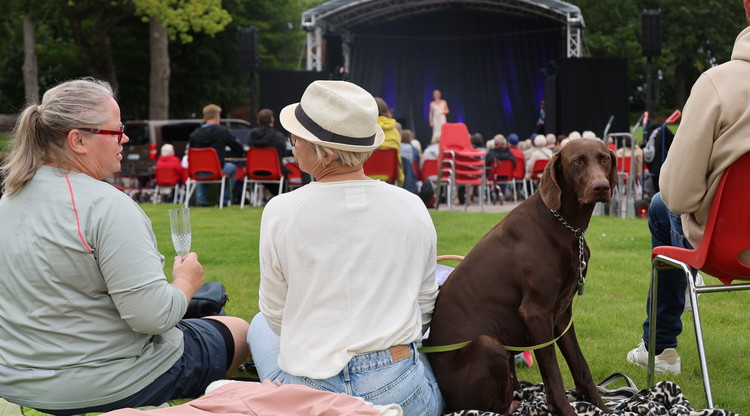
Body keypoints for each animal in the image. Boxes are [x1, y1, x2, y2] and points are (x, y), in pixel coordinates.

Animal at [426, 138, 620, 414]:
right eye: (577, 161)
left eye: (604, 158)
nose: (600, 187)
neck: (564, 226)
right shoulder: (536, 313)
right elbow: (554, 377)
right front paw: (564, 409)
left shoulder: (561, 314)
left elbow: (580, 367)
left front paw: (601, 407)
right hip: (489, 345)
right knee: (496, 406)